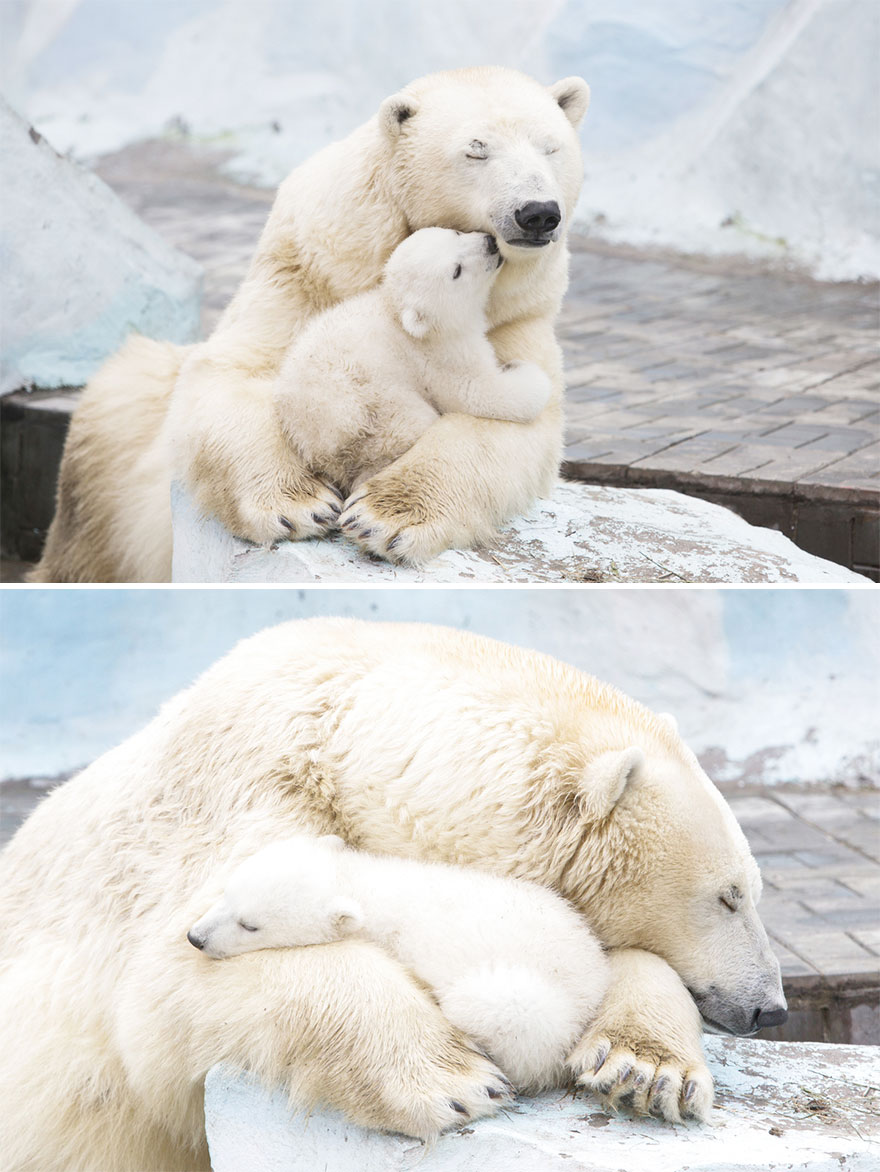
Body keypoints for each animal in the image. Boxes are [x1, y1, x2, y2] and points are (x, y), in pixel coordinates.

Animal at [189, 834, 609, 1087]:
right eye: (226, 894)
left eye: (250, 925)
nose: (196, 938)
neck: (359, 885)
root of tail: (595, 987)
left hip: (533, 1002)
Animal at [275, 226, 550, 506]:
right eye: (456, 271)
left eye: (456, 232)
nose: (490, 244)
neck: (400, 315)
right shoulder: (440, 355)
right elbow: (478, 392)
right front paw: (522, 370)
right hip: (375, 410)